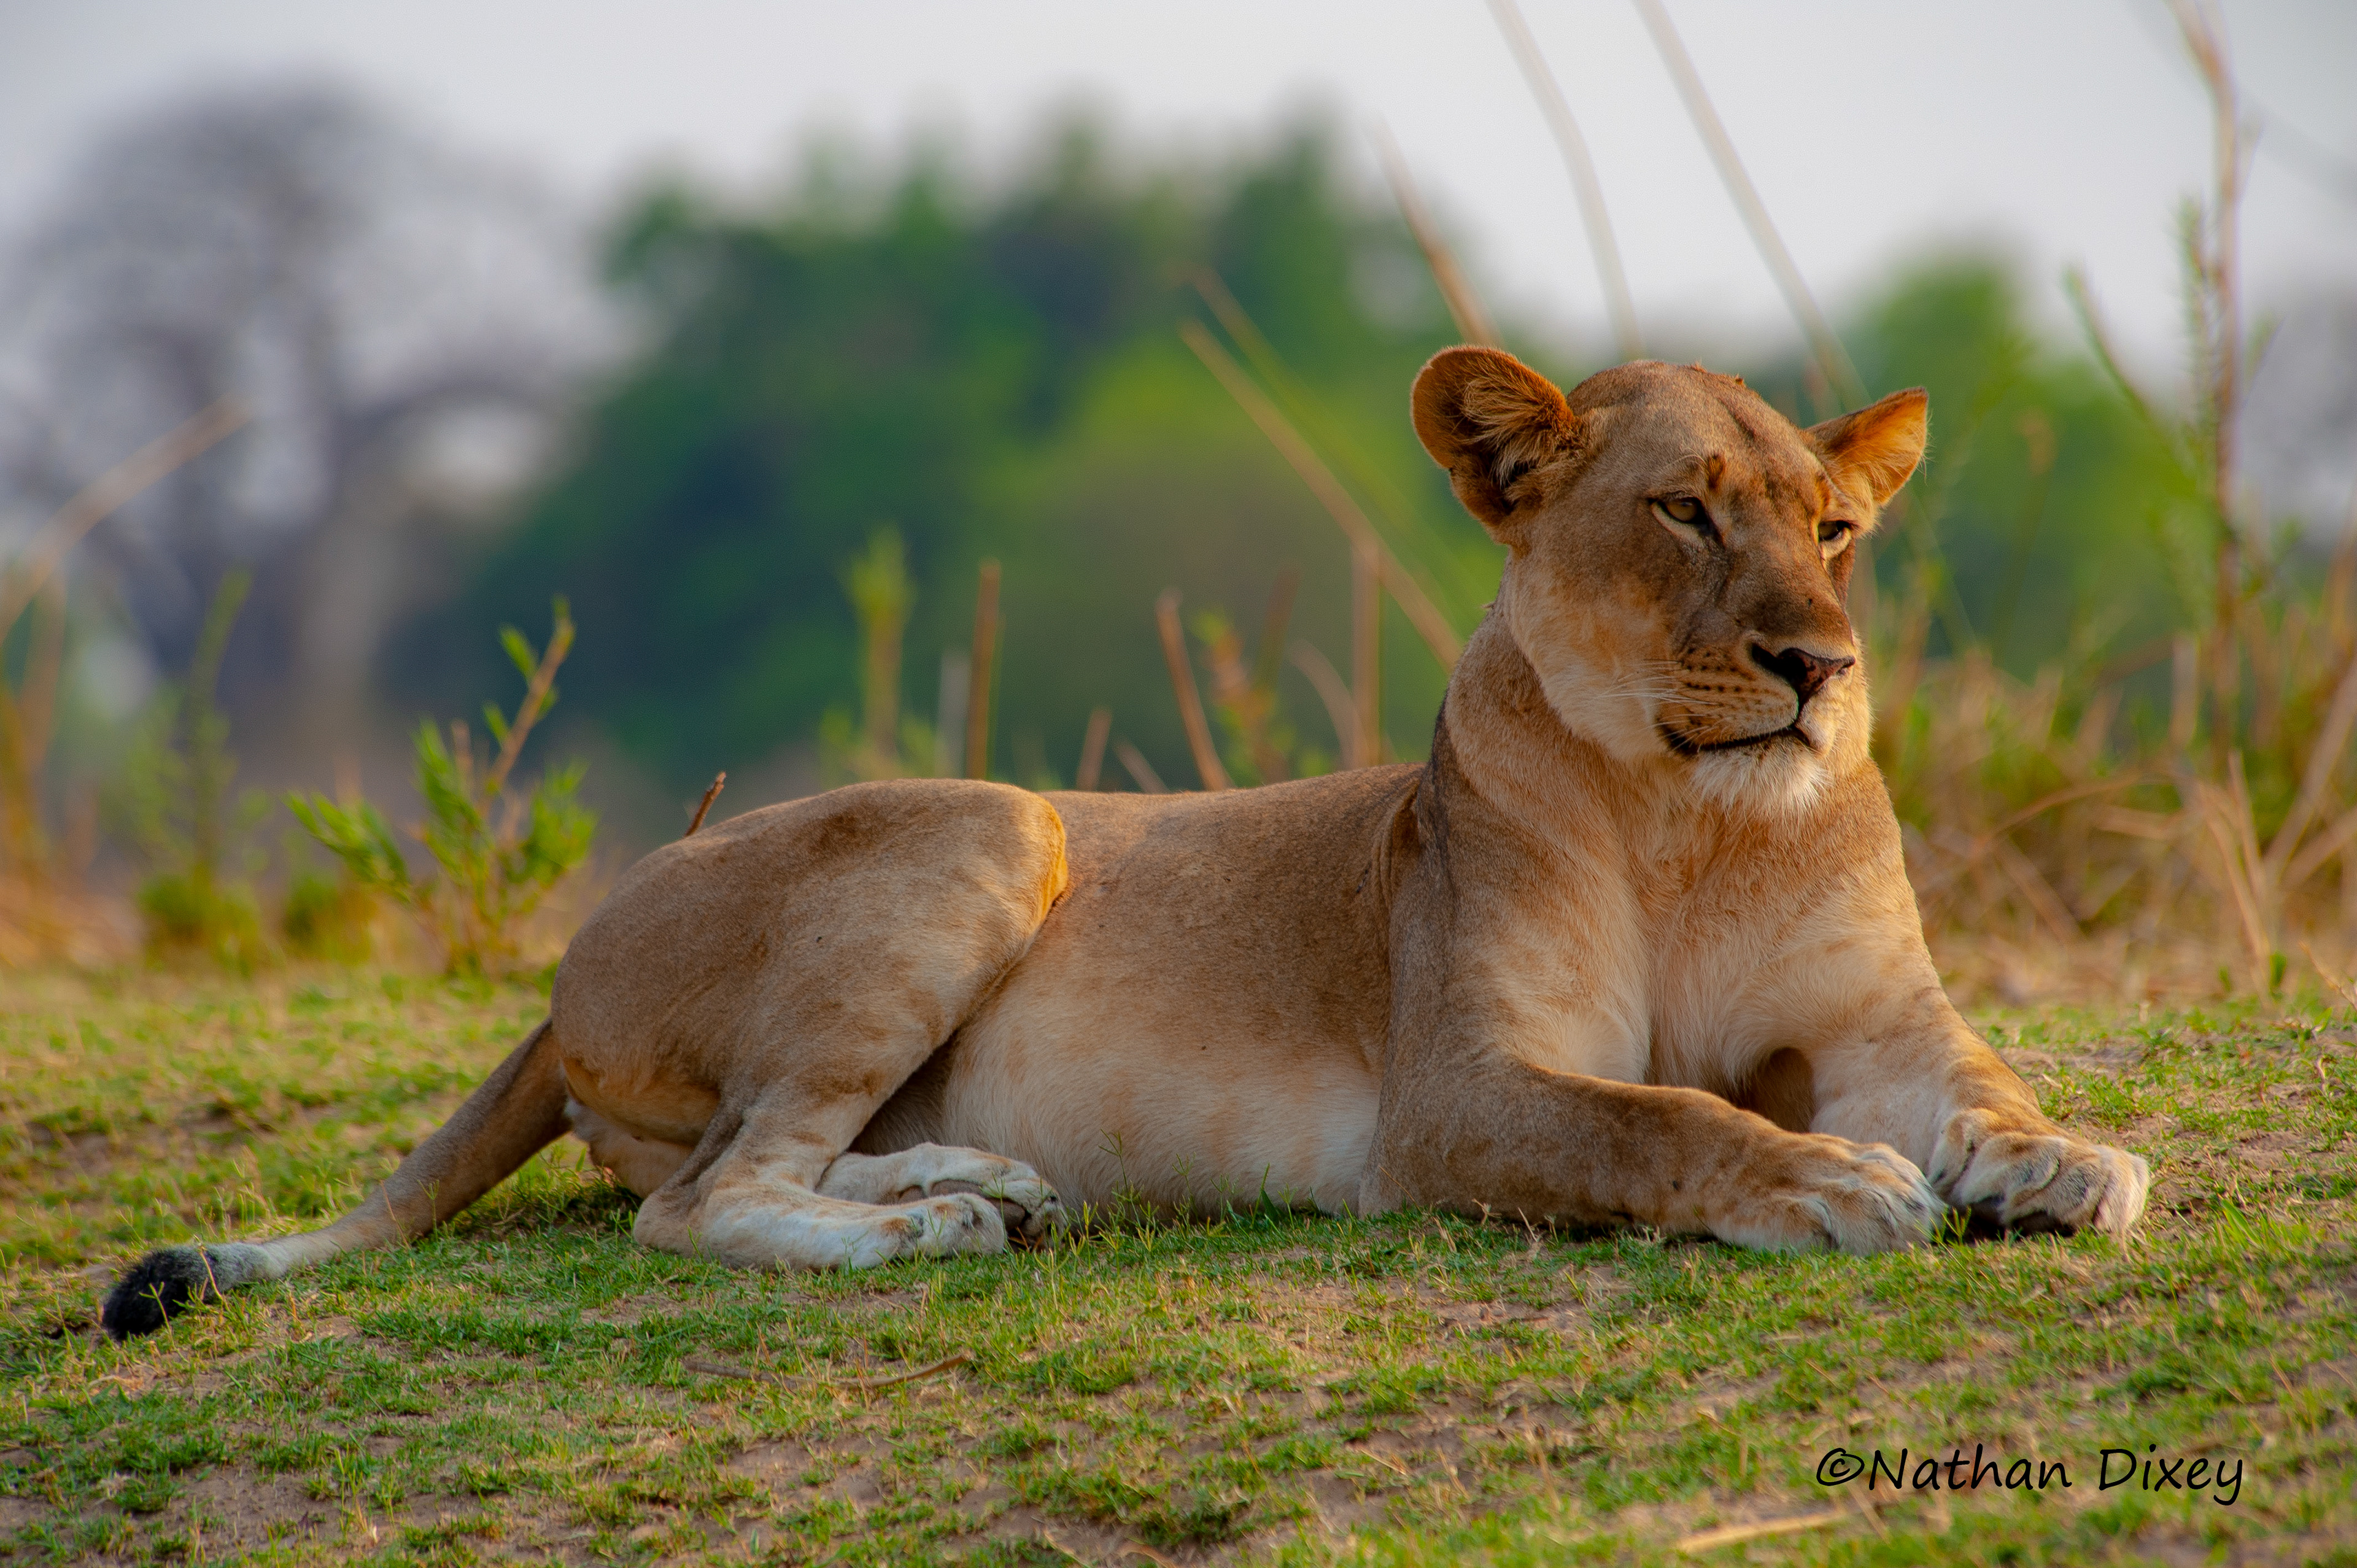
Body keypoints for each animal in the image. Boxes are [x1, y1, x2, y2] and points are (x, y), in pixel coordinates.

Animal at [103, 349, 2149, 1340]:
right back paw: (934, 1227)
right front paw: (1830, 1183)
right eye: (1683, 512)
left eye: (1835, 528)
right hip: (992, 823)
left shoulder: (1877, 1021)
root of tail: (562, 968)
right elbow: (1661, 1120)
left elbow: (1982, 1074)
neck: (1689, 820)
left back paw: (986, 1182)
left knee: (754, 1156)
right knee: (704, 1200)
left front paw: (2064, 1161)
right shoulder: (1462, 1091)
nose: (1819, 665)